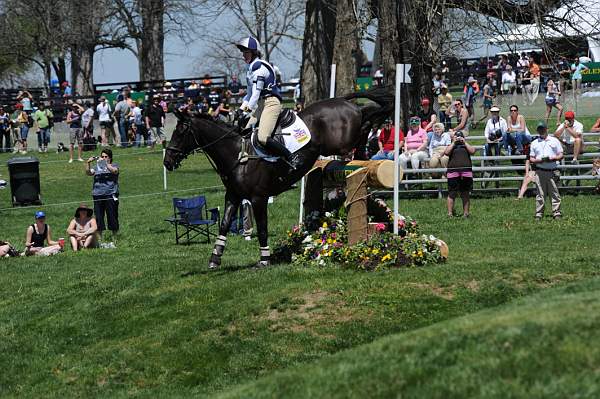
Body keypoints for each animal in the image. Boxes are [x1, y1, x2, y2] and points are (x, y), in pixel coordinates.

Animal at [163, 87, 394, 268]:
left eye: (180, 132)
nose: (167, 161)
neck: (237, 154)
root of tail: (344, 101)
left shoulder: (258, 198)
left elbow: (263, 229)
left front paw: (264, 259)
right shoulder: (233, 196)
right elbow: (224, 225)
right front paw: (215, 259)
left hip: (342, 141)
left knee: (368, 116)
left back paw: (367, 141)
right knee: (368, 115)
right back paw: (363, 150)